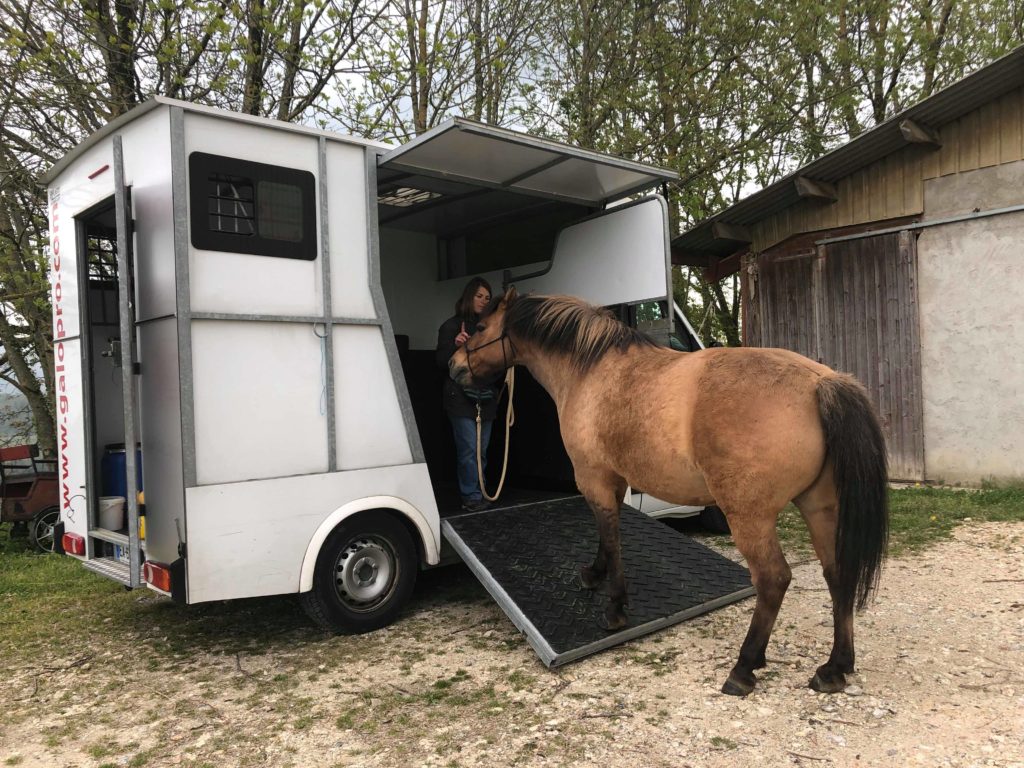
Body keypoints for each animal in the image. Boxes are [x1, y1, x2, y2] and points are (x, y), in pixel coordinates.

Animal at [448, 288, 888, 696]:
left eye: (480, 326)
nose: (454, 367)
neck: (589, 370)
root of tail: (821, 382)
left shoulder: (593, 478)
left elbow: (610, 535)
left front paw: (615, 608)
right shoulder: (615, 481)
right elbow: (609, 536)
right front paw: (594, 575)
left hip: (750, 516)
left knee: (773, 579)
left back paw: (744, 668)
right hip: (819, 507)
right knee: (838, 573)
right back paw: (834, 668)